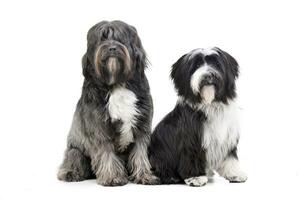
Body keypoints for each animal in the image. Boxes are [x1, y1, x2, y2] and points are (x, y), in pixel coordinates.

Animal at [57, 20, 158, 186]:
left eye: (120, 38)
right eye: (101, 39)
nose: (112, 48)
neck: (117, 83)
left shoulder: (141, 124)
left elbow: (140, 153)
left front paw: (144, 176)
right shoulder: (99, 127)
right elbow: (106, 152)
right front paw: (112, 177)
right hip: (75, 151)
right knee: (73, 159)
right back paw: (70, 173)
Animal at [148, 47, 248, 187]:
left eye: (216, 64)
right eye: (196, 66)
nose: (208, 75)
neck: (210, 105)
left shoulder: (227, 137)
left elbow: (229, 157)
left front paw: (234, 173)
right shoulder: (191, 139)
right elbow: (192, 156)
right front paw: (195, 177)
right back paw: (171, 177)